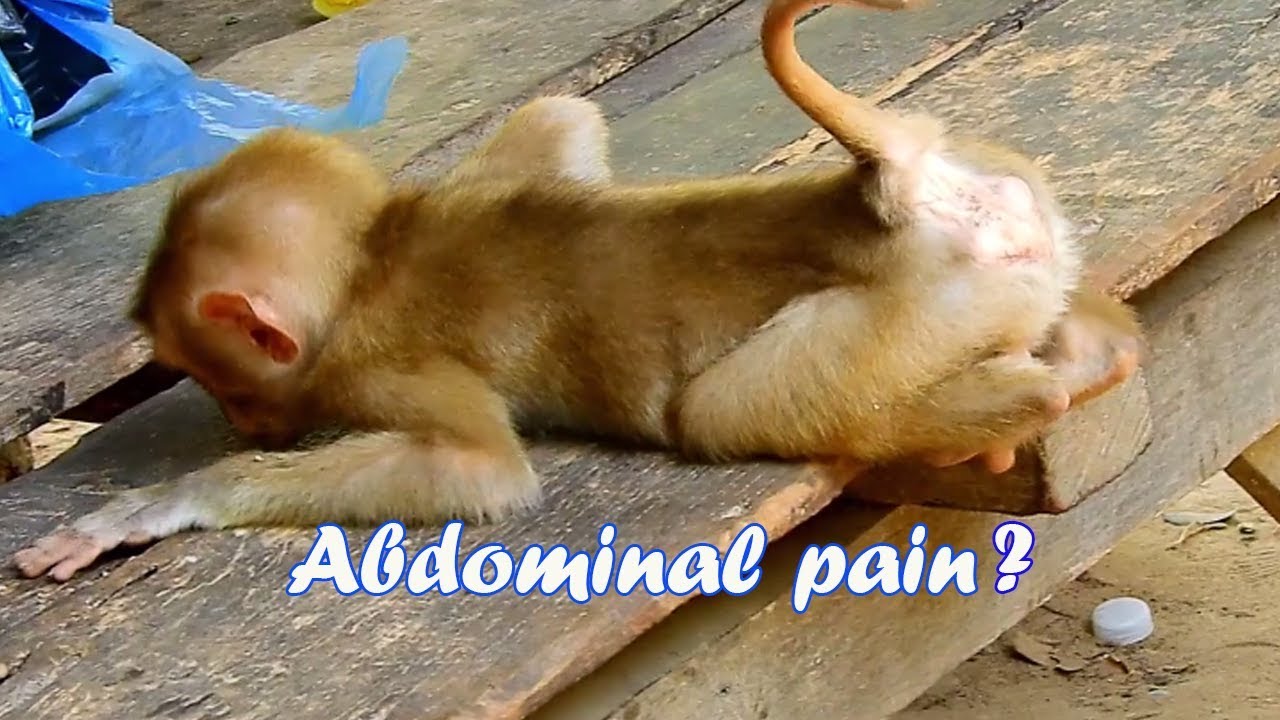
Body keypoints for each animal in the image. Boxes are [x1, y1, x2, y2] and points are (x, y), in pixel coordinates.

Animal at [13, 0, 1143, 582]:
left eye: (220, 381)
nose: (242, 424)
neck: (367, 262)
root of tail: (890, 188)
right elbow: (559, 121)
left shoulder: (373, 365)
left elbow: (478, 468)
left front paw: (166, 503)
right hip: (1017, 222)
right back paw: (1088, 354)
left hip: (908, 313)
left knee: (716, 410)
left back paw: (1020, 396)